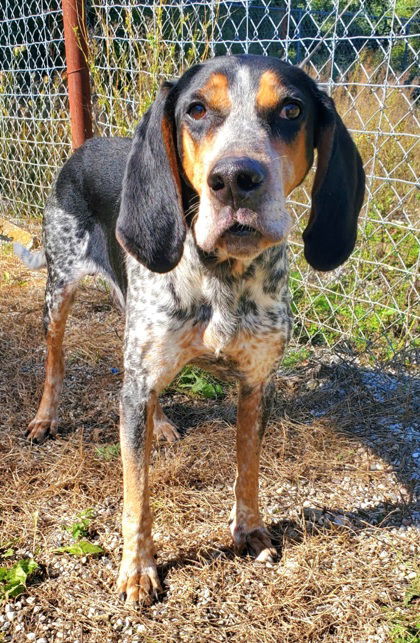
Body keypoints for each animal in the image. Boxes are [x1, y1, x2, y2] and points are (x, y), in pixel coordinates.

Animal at [16, 55, 364, 604]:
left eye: (291, 109)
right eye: (196, 109)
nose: (236, 178)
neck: (222, 277)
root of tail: (86, 146)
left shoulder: (257, 383)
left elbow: (248, 467)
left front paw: (250, 531)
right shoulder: (136, 383)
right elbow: (137, 491)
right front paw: (138, 570)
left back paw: (159, 424)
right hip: (60, 290)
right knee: (55, 360)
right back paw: (45, 418)